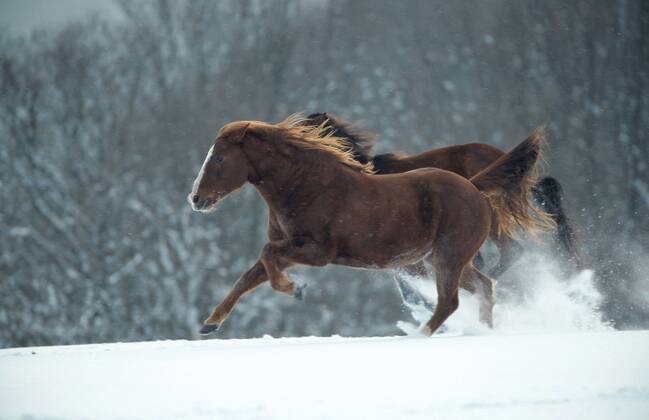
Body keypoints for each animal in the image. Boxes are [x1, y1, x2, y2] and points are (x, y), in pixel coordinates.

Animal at [189, 114, 548, 336]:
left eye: (219, 158)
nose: (195, 198)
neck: (303, 186)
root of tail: (474, 188)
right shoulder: (294, 249)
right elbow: (249, 275)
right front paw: (209, 324)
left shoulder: (317, 251)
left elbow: (266, 257)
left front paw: (296, 289)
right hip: (443, 260)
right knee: (485, 286)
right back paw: (485, 330)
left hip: (449, 257)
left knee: (451, 301)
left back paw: (420, 334)